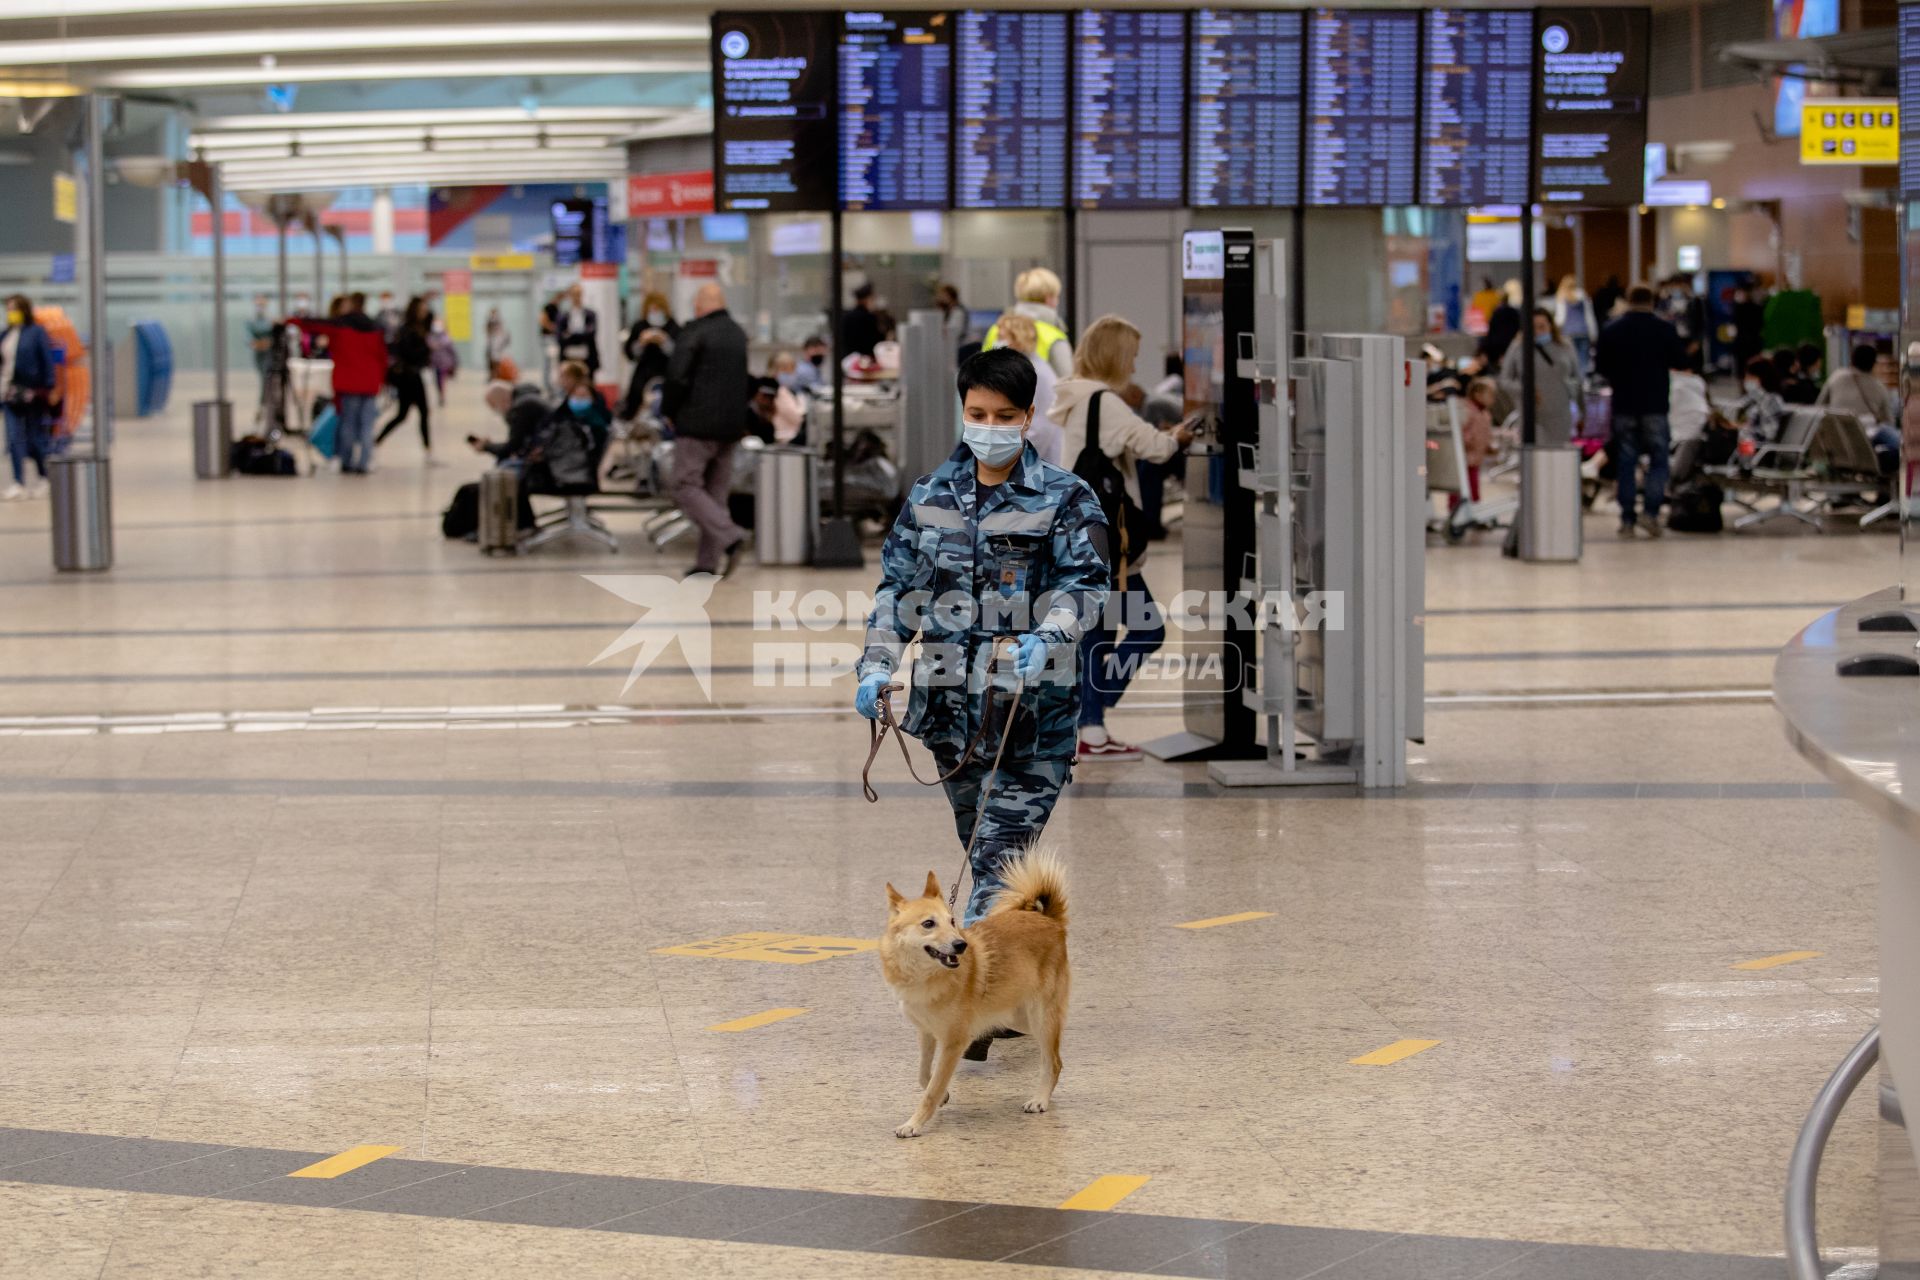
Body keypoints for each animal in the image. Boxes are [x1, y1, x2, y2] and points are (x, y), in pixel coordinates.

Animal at [879, 852, 1075, 1143]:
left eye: (951, 921)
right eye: (928, 924)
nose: (961, 945)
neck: (928, 976)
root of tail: (1050, 920)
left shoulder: (953, 1043)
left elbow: (931, 1090)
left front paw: (914, 1123)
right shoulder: (926, 1033)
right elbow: (924, 1075)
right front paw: (943, 1096)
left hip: (1041, 1018)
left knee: (1054, 1061)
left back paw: (1040, 1099)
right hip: (1017, 1018)